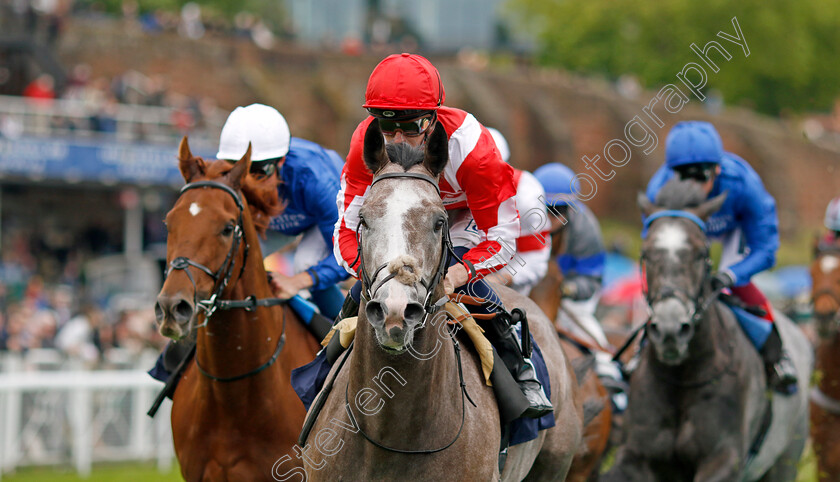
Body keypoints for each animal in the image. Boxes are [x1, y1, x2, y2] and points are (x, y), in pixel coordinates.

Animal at [604, 183, 812, 480]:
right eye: (646, 253)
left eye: (701, 254)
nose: (670, 329)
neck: (682, 377)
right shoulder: (635, 454)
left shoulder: (723, 458)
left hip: (786, 458)